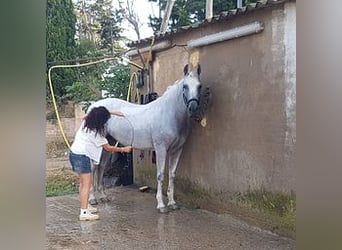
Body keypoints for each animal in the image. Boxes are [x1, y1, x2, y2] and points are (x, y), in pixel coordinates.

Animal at [87, 64, 203, 213]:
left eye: (199, 86)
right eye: (185, 86)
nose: (193, 108)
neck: (170, 114)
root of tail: (93, 106)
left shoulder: (177, 150)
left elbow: (172, 175)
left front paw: (172, 203)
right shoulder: (160, 149)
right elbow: (160, 175)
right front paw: (161, 205)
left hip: (109, 143)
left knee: (101, 166)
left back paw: (103, 196)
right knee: (93, 168)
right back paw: (92, 199)